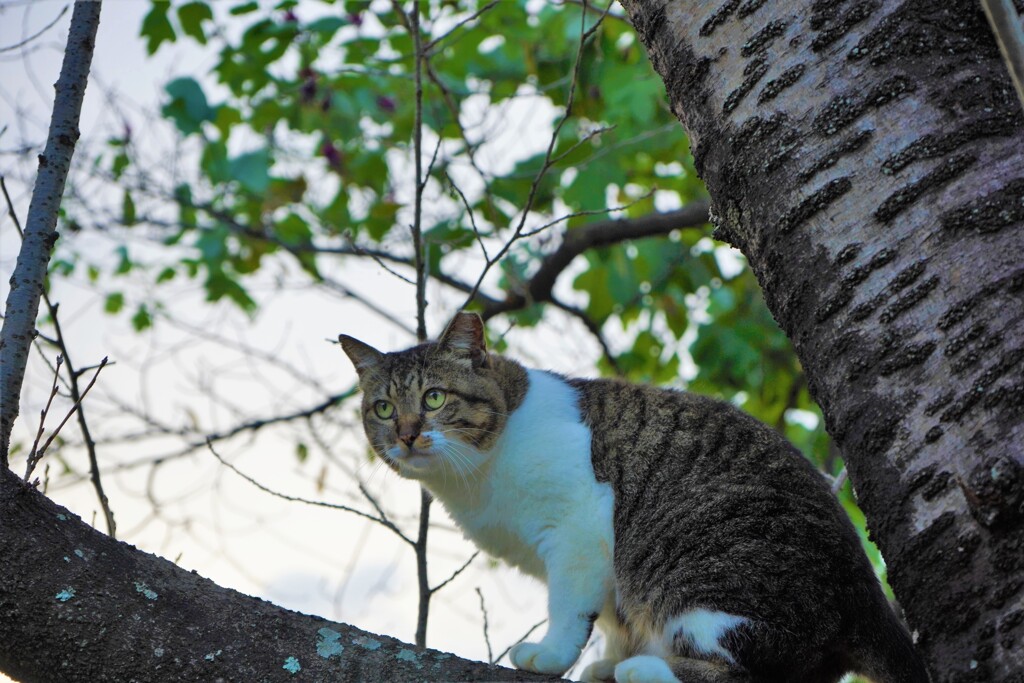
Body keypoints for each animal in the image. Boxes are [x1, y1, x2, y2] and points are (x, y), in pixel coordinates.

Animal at [339, 313, 933, 679]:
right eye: (384, 408)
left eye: (434, 398)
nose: (407, 435)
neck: (474, 477)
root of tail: (865, 588)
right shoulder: (605, 580)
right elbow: (611, 619)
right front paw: (602, 657)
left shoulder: (580, 528)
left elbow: (569, 607)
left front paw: (551, 657)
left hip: (707, 578)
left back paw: (645, 669)